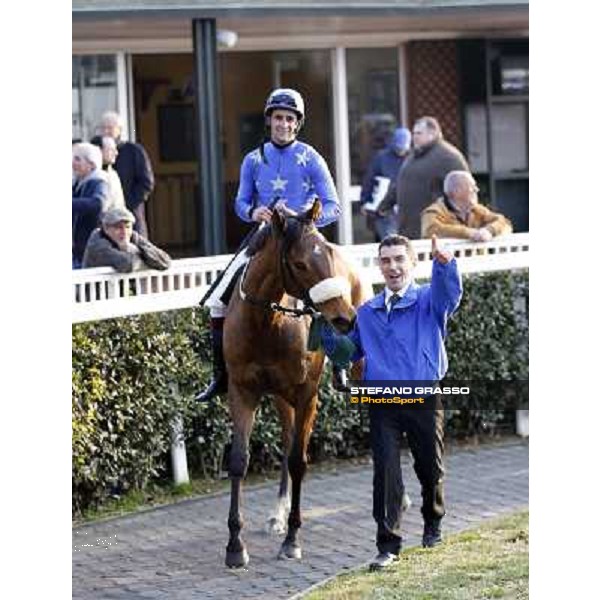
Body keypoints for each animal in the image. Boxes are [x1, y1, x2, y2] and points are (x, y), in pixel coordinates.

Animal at [221, 200, 368, 568]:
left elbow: (299, 461)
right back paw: (277, 513)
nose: (345, 318)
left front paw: (293, 539)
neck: (267, 322)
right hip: (279, 397)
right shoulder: (243, 391)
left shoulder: (306, 394)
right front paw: (235, 545)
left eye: (327, 255)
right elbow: (240, 460)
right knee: (287, 439)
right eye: (300, 263)